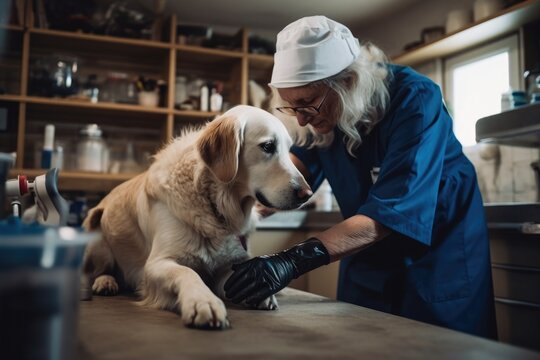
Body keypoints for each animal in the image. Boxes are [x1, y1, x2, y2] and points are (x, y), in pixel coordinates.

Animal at [82, 104, 314, 330]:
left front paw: (264, 284)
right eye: (268, 146)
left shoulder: (230, 266)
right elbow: (187, 273)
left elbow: (244, 275)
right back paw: (105, 282)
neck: (214, 204)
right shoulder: (156, 264)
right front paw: (203, 301)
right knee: (100, 270)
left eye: (289, 150)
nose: (308, 194)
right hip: (98, 238)